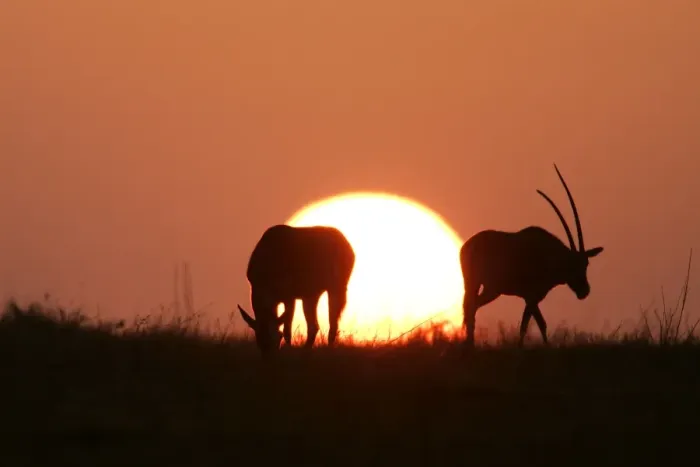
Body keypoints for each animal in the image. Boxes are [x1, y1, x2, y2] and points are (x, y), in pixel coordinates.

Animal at [238, 224, 355, 355]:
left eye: (277, 338)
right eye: (259, 341)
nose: (270, 356)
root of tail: (344, 241)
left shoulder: (289, 297)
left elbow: (287, 329)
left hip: (336, 288)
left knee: (332, 323)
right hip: (310, 296)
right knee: (314, 326)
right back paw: (307, 349)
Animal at [460, 164, 603, 347]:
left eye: (585, 264)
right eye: (572, 265)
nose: (584, 290)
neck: (550, 255)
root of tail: (467, 246)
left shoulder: (531, 299)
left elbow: (529, 324)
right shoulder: (531, 297)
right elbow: (537, 323)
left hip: (482, 287)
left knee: (471, 307)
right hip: (486, 287)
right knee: (471, 307)